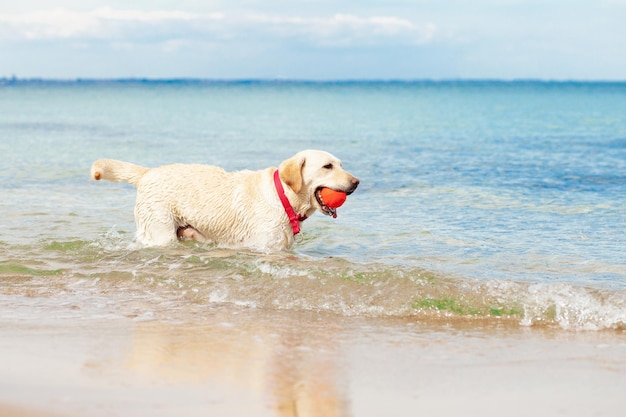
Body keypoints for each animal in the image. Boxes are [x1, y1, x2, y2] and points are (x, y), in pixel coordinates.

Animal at [90, 150, 358, 250]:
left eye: (341, 164)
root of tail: (147, 173)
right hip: (160, 231)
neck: (283, 196)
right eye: (327, 166)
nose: (356, 182)